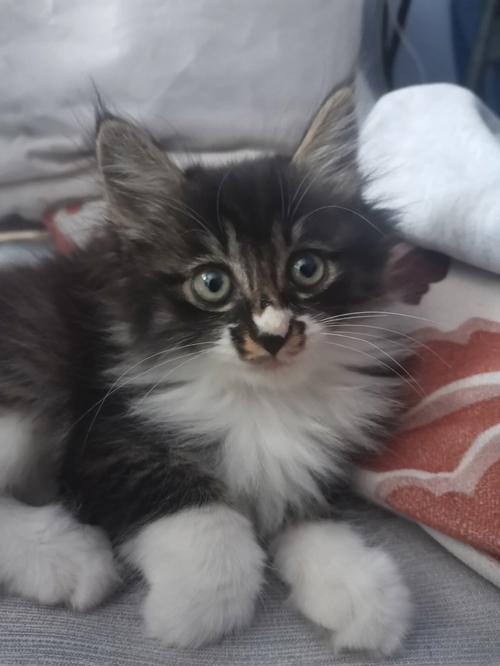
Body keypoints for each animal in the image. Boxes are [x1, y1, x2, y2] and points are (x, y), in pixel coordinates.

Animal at [0, 87, 412, 654]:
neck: (262, 401)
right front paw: (195, 606)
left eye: (306, 268)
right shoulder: (107, 440)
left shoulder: (310, 464)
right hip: (28, 378)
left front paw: (360, 591)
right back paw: (69, 558)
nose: (273, 335)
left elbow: (310, 514)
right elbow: (204, 516)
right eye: (212, 283)